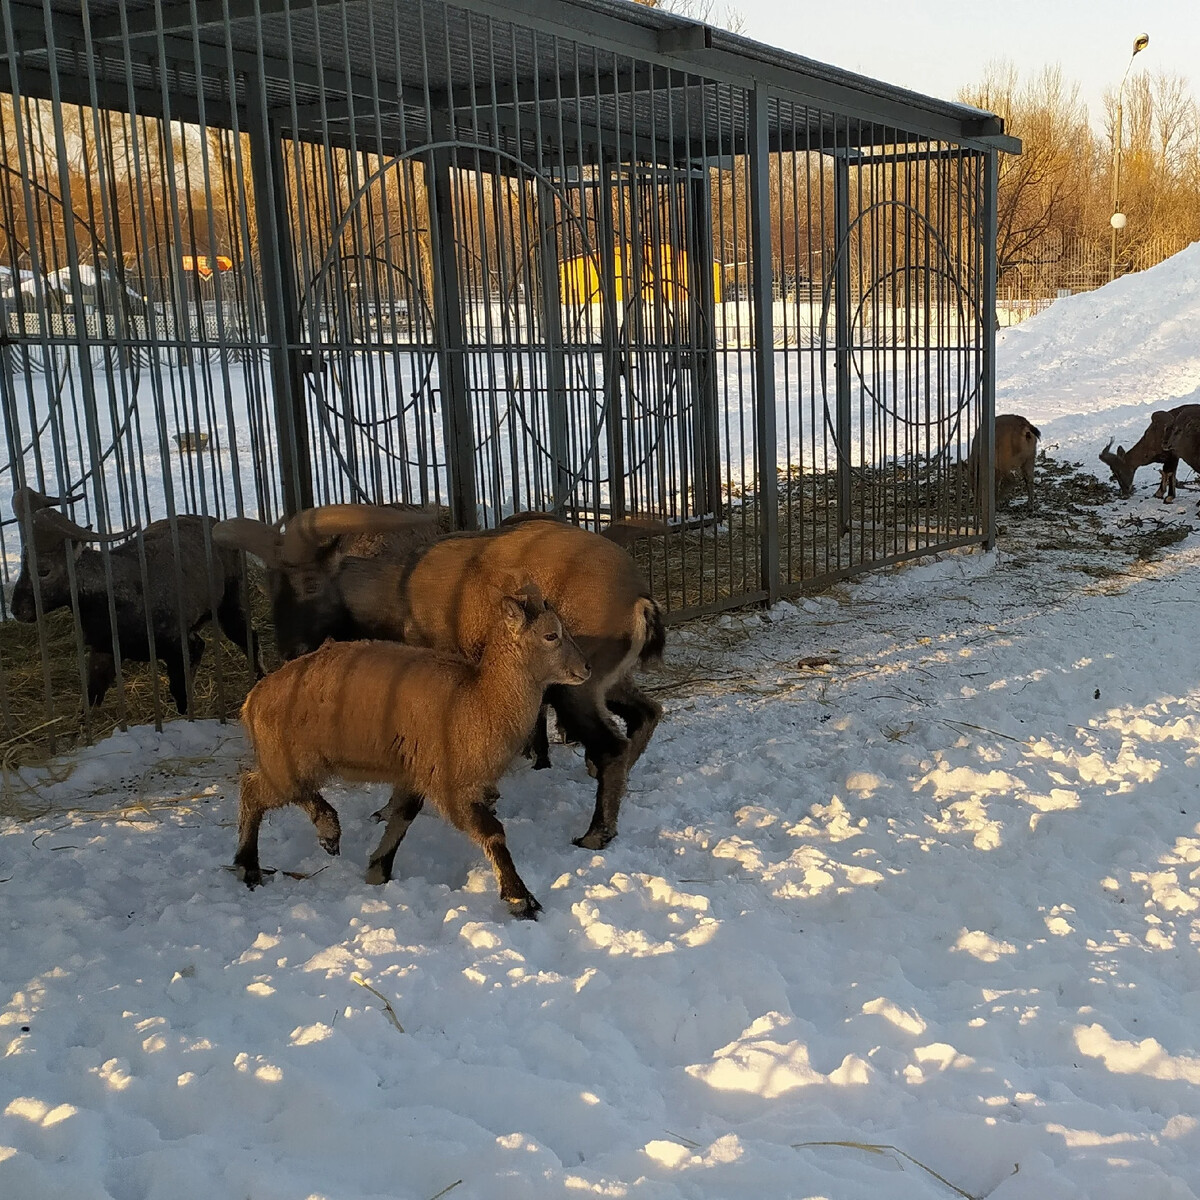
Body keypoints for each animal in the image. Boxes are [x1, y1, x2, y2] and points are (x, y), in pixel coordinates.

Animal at [216, 506, 667, 854]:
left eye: (310, 583)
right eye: (269, 587)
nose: (290, 652)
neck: (397, 593)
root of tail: (636, 598)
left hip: (576, 687)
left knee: (612, 747)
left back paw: (594, 834)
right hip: (605, 680)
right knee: (646, 714)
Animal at [234, 580, 590, 916]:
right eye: (550, 635)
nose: (586, 668)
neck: (480, 700)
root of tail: (253, 700)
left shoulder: (415, 772)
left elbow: (403, 817)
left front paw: (378, 870)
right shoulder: (450, 783)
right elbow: (492, 832)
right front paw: (521, 900)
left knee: (281, 789)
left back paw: (325, 833)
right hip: (290, 756)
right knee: (256, 790)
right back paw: (255, 862)